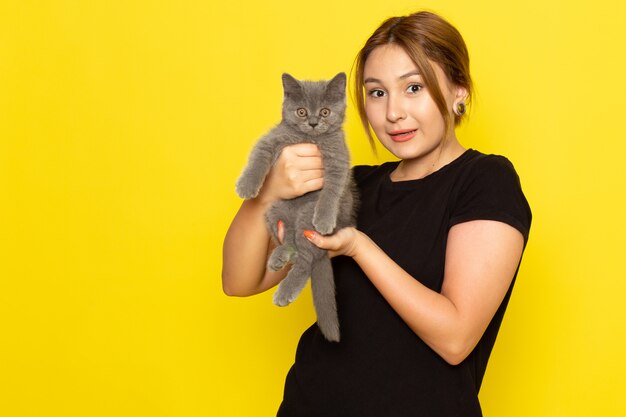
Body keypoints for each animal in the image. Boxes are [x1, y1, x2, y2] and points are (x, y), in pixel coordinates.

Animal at [235, 72, 354, 342]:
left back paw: (285, 291)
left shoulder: (338, 159)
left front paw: (324, 219)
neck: (311, 139)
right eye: (301, 111)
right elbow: (258, 158)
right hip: (275, 211)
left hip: (305, 217)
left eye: (324, 111)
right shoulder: (272, 139)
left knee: (305, 261)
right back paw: (280, 256)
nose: (312, 122)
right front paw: (247, 185)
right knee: (291, 243)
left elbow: (331, 191)